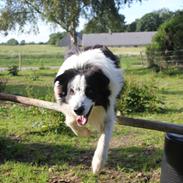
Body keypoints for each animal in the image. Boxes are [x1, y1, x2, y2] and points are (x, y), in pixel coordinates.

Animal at [54, 45, 123, 174]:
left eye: (90, 91)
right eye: (71, 91)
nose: (78, 110)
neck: (83, 66)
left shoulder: (109, 110)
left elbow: (104, 137)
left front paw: (97, 164)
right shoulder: (70, 108)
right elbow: (70, 121)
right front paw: (85, 133)